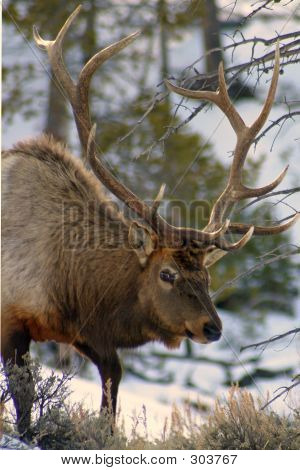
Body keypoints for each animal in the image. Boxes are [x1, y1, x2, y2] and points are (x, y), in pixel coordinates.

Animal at [1, 4, 298, 440]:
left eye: (206, 276)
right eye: (167, 274)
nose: (213, 327)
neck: (70, 285)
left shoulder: (88, 334)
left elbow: (112, 388)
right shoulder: (11, 317)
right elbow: (24, 404)